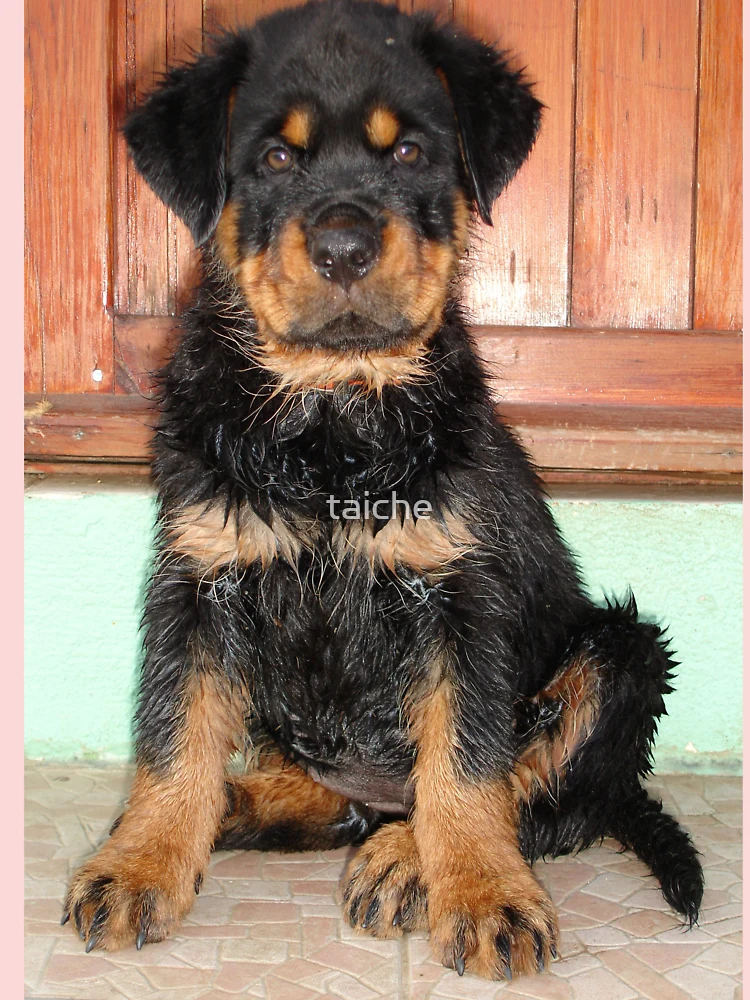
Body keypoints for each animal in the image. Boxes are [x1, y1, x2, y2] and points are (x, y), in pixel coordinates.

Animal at [63, 0, 704, 980]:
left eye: (408, 153)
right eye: (275, 158)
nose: (344, 247)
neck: (331, 417)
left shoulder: (460, 594)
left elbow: (469, 760)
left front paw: (484, 895)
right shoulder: (199, 580)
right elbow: (173, 736)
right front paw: (140, 862)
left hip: (623, 651)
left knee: (549, 799)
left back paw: (406, 860)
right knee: (335, 794)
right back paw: (246, 804)